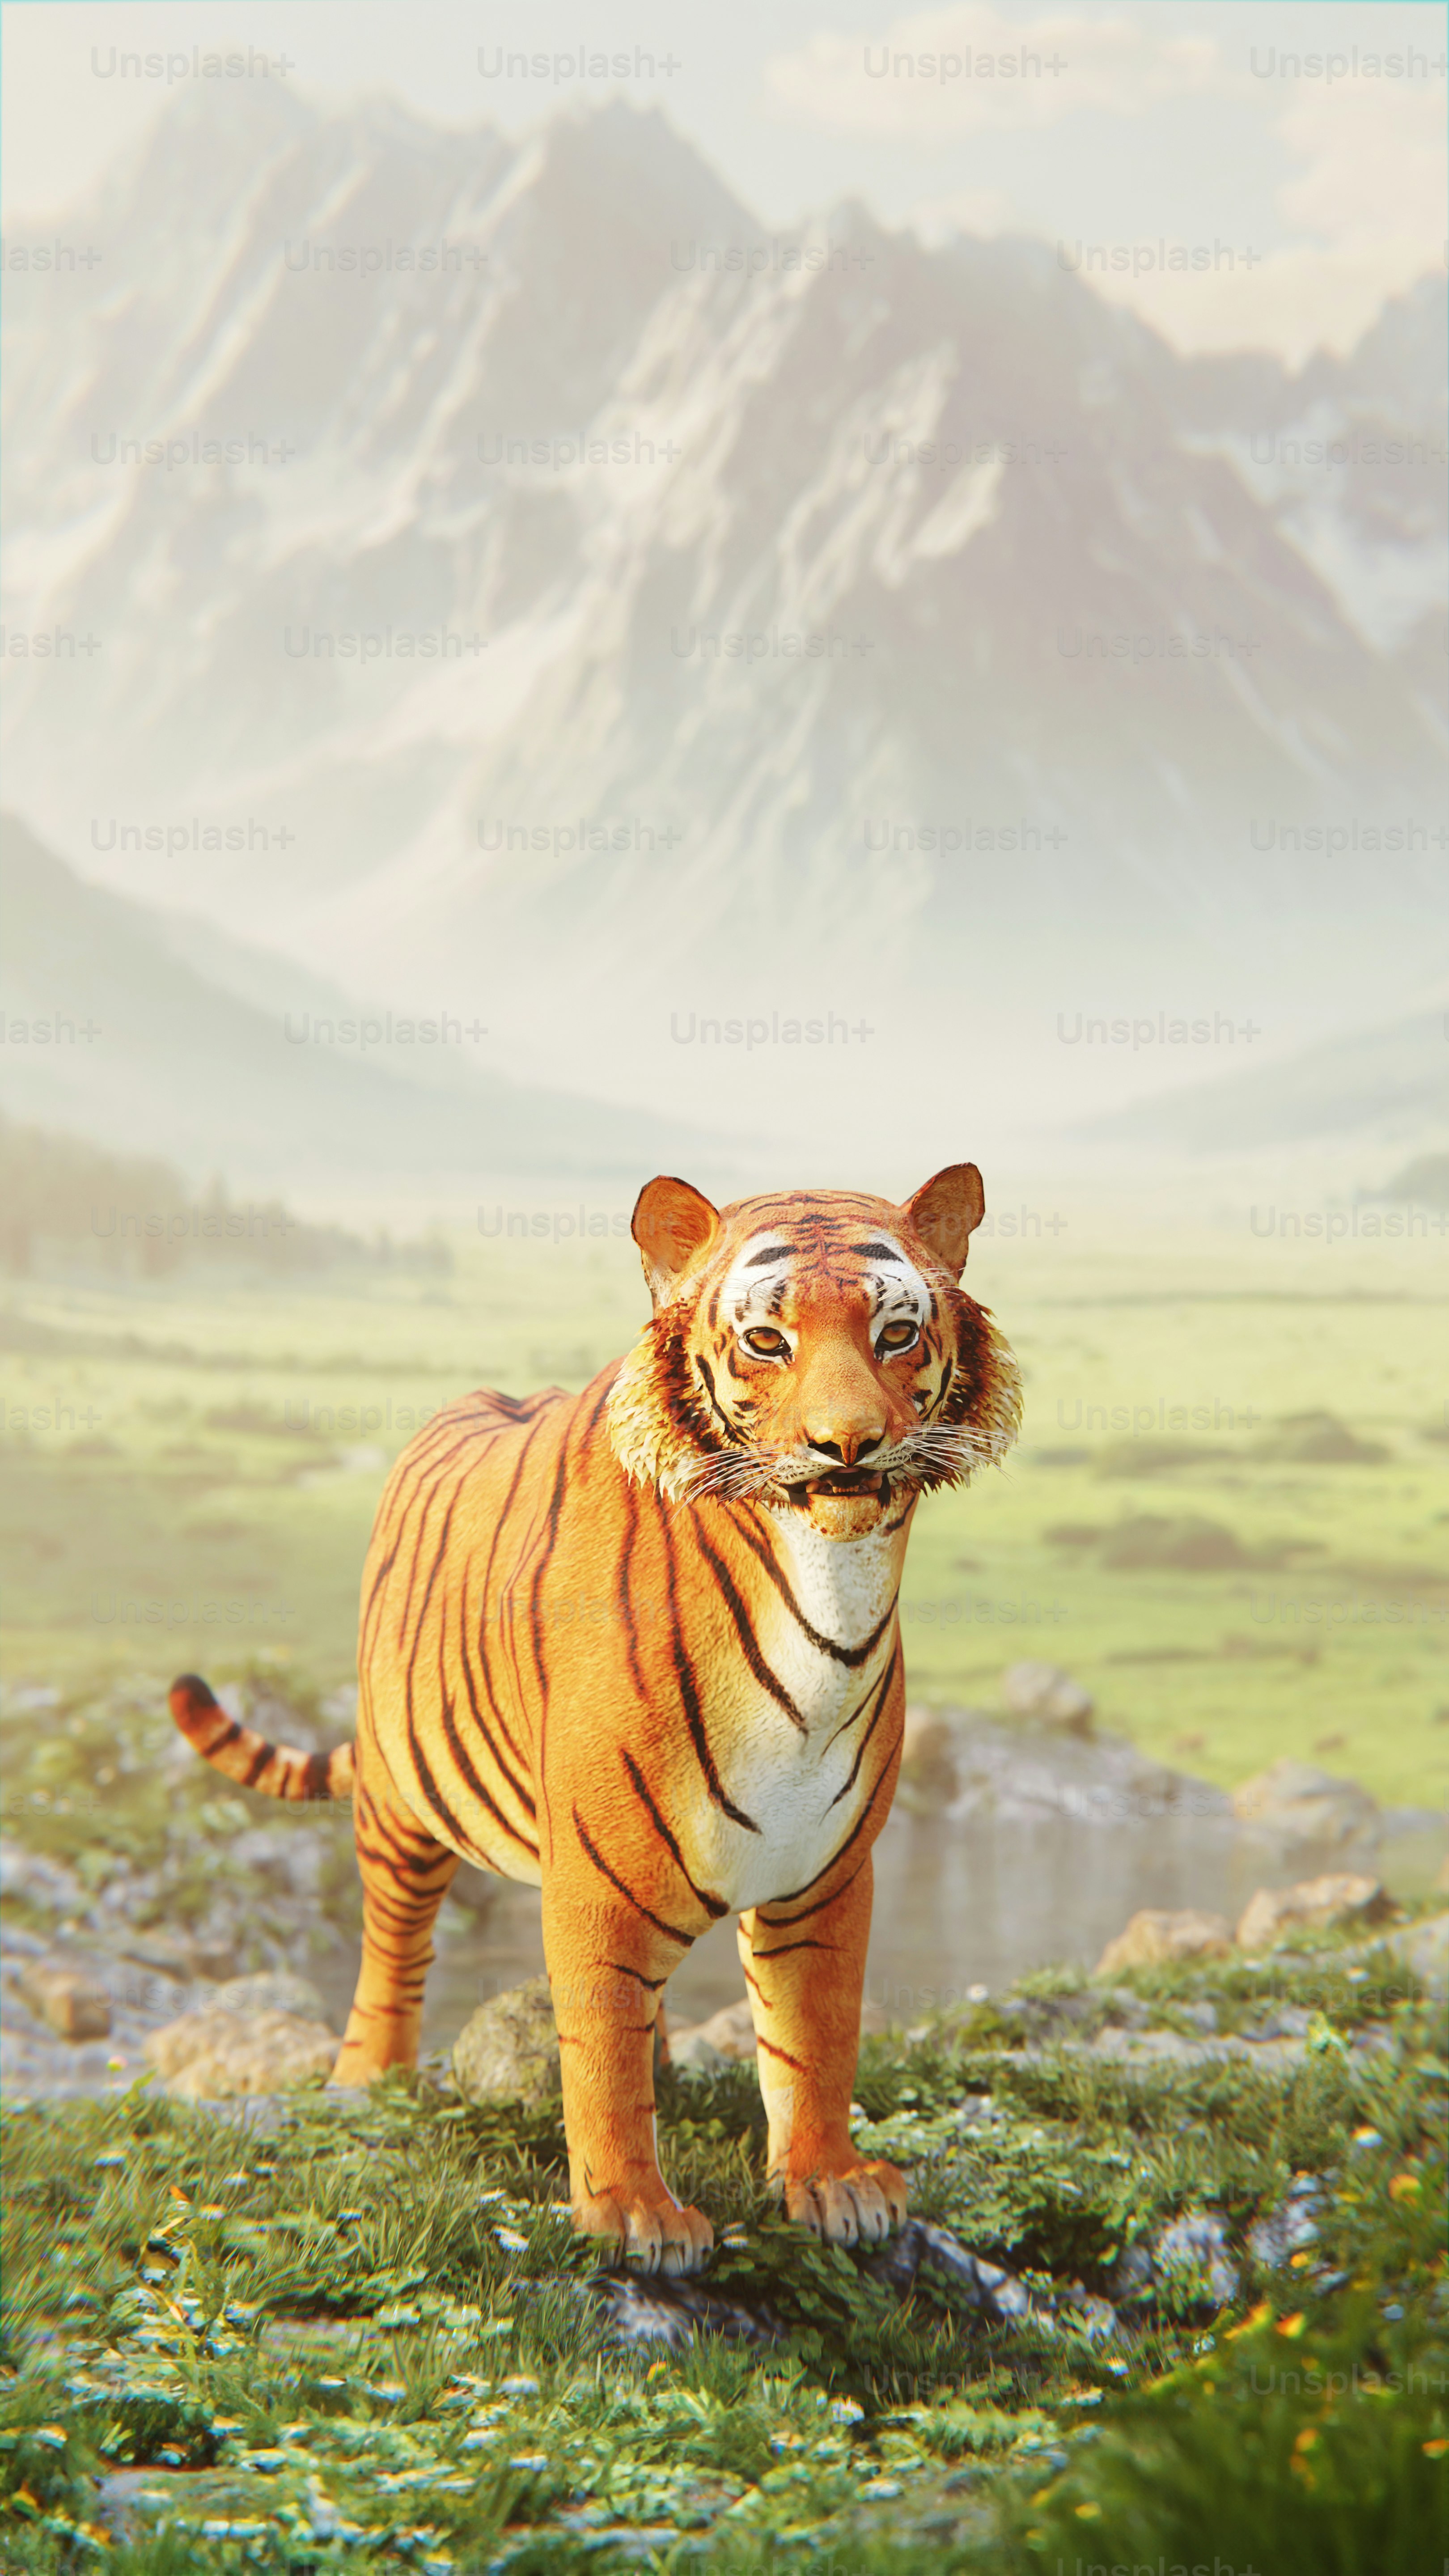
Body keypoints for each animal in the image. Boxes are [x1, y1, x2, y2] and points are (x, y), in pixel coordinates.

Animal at [170, 1163, 1020, 2276]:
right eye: (767, 1340)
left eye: (897, 1334)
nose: (847, 1447)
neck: (830, 1586)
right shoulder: (598, 1883)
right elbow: (603, 2048)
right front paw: (632, 2215)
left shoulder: (829, 1874)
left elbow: (816, 2035)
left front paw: (831, 2183)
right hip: (403, 1807)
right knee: (394, 1951)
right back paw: (369, 2082)